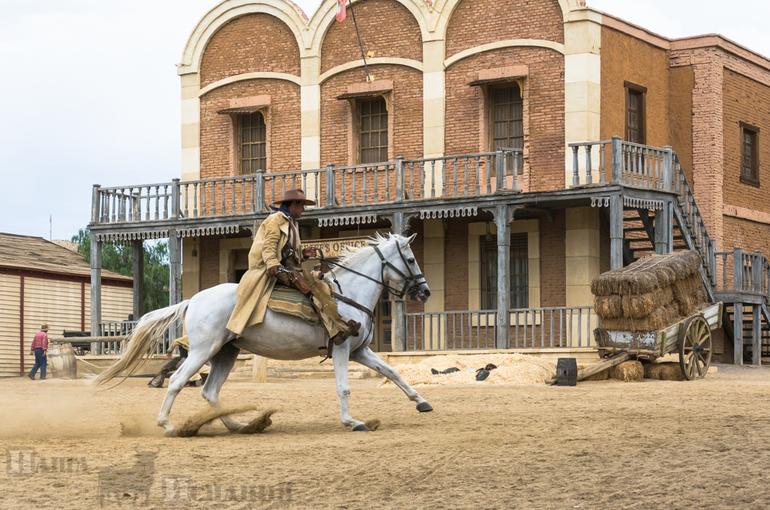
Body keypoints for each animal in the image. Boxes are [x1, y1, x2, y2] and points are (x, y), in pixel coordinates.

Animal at [94, 233, 432, 436]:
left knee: (209, 392)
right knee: (178, 381)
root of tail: (192, 300)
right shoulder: (342, 349)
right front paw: (353, 421)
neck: (347, 294)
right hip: (203, 351)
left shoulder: (360, 350)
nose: (425, 291)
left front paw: (421, 402)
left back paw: (239, 424)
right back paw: (168, 424)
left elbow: (393, 371)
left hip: (225, 354)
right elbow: (344, 388)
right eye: (411, 259)